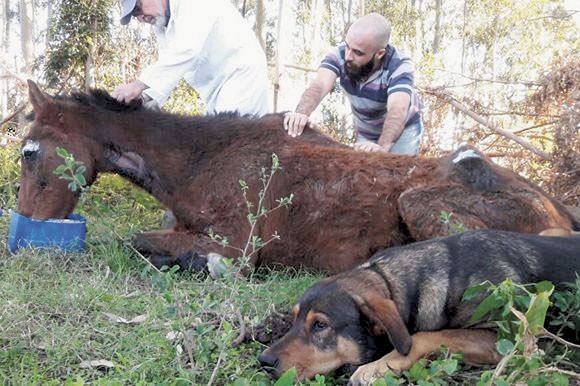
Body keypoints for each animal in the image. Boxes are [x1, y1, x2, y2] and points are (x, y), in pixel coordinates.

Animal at [18, 80, 580, 274]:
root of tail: (558, 207)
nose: (23, 226)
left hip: (421, 204)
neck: (197, 164)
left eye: (29, 153)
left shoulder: (240, 244)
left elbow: (137, 240)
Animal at [260, 229, 580, 382]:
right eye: (293, 320)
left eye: (320, 325)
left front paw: (378, 366)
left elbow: (423, 337)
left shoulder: (508, 340)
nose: (264, 361)